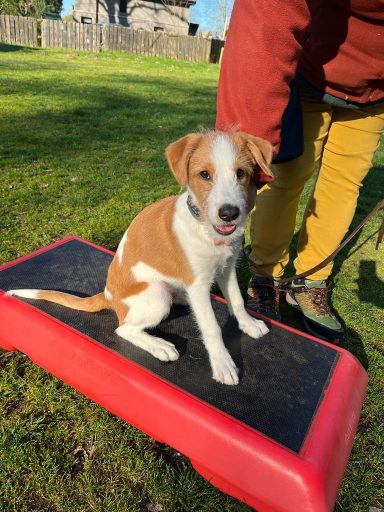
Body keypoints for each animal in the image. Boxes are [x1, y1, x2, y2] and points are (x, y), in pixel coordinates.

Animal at [8, 131, 272, 384]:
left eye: (241, 173)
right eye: (204, 174)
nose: (229, 213)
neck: (206, 229)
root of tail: (108, 295)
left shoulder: (227, 268)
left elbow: (236, 300)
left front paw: (248, 324)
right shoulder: (197, 282)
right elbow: (211, 327)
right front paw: (222, 364)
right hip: (156, 294)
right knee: (124, 329)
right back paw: (159, 345)